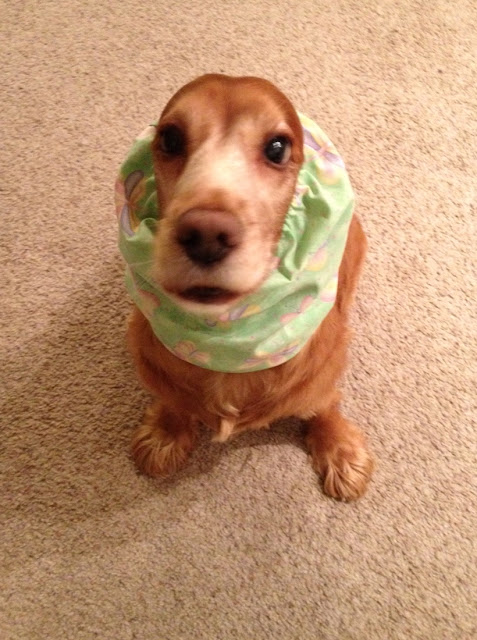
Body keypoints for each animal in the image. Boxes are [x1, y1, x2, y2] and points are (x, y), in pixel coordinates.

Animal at [116, 74, 372, 500]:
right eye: (170, 138)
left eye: (277, 147)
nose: (205, 235)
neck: (228, 342)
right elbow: (173, 401)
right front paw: (165, 433)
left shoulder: (320, 378)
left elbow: (324, 405)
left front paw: (339, 451)